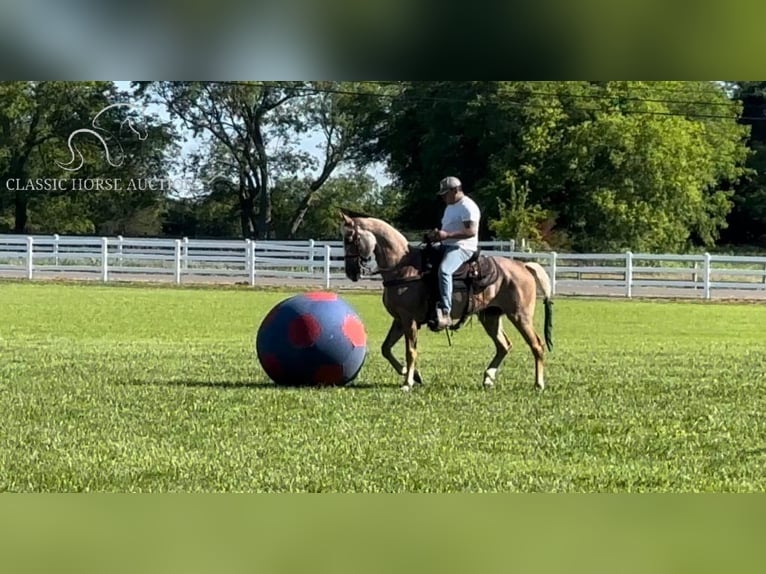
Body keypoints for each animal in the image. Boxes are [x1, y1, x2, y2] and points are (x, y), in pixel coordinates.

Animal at [344, 209, 556, 394]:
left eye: (350, 239)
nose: (351, 272)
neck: (403, 268)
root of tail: (524, 266)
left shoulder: (409, 319)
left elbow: (410, 351)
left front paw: (407, 383)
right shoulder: (399, 319)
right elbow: (386, 348)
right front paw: (412, 374)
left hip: (520, 315)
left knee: (537, 345)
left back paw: (538, 383)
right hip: (491, 316)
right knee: (504, 345)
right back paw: (488, 377)